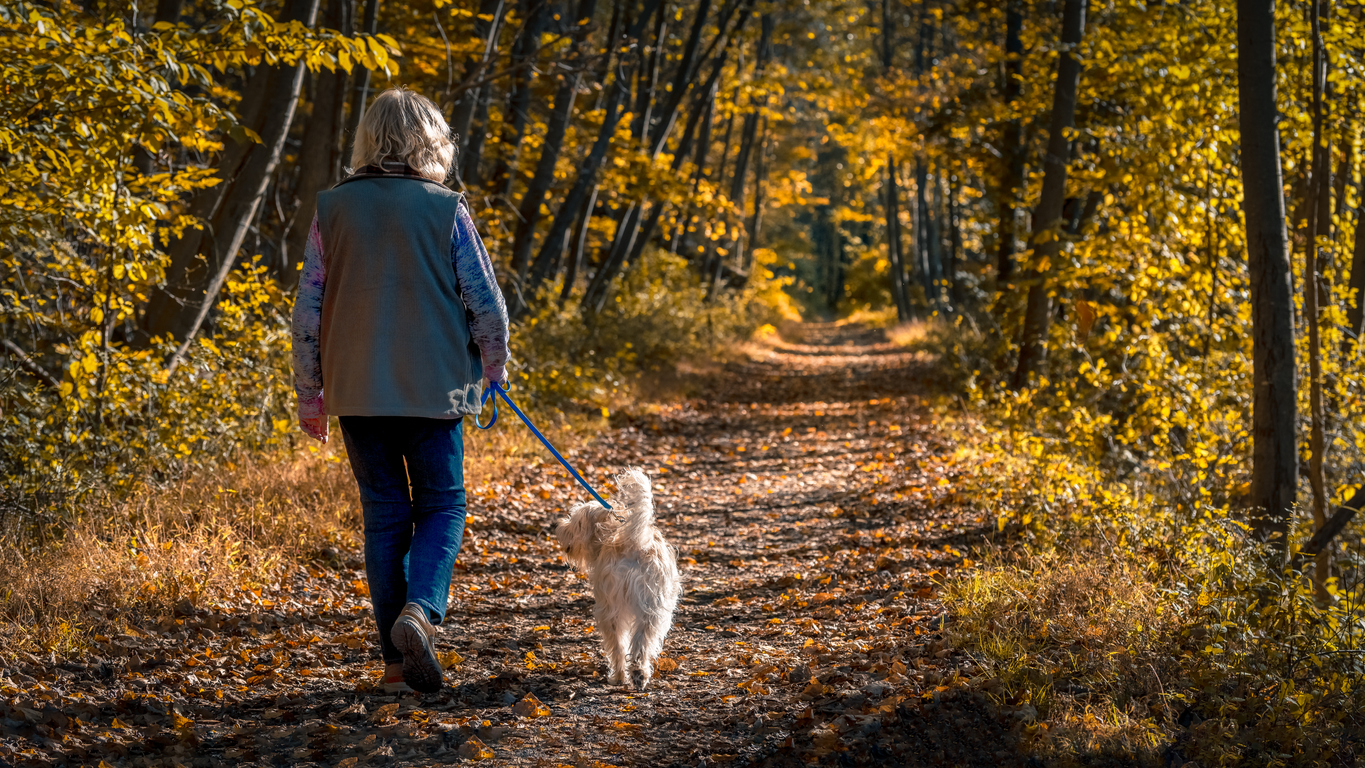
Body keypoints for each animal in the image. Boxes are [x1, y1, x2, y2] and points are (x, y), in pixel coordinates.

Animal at [554, 469, 682, 690]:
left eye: (576, 522)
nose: (560, 527)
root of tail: (635, 543)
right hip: (653, 610)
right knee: (641, 643)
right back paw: (639, 674)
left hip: (610, 609)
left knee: (618, 646)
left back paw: (619, 676)